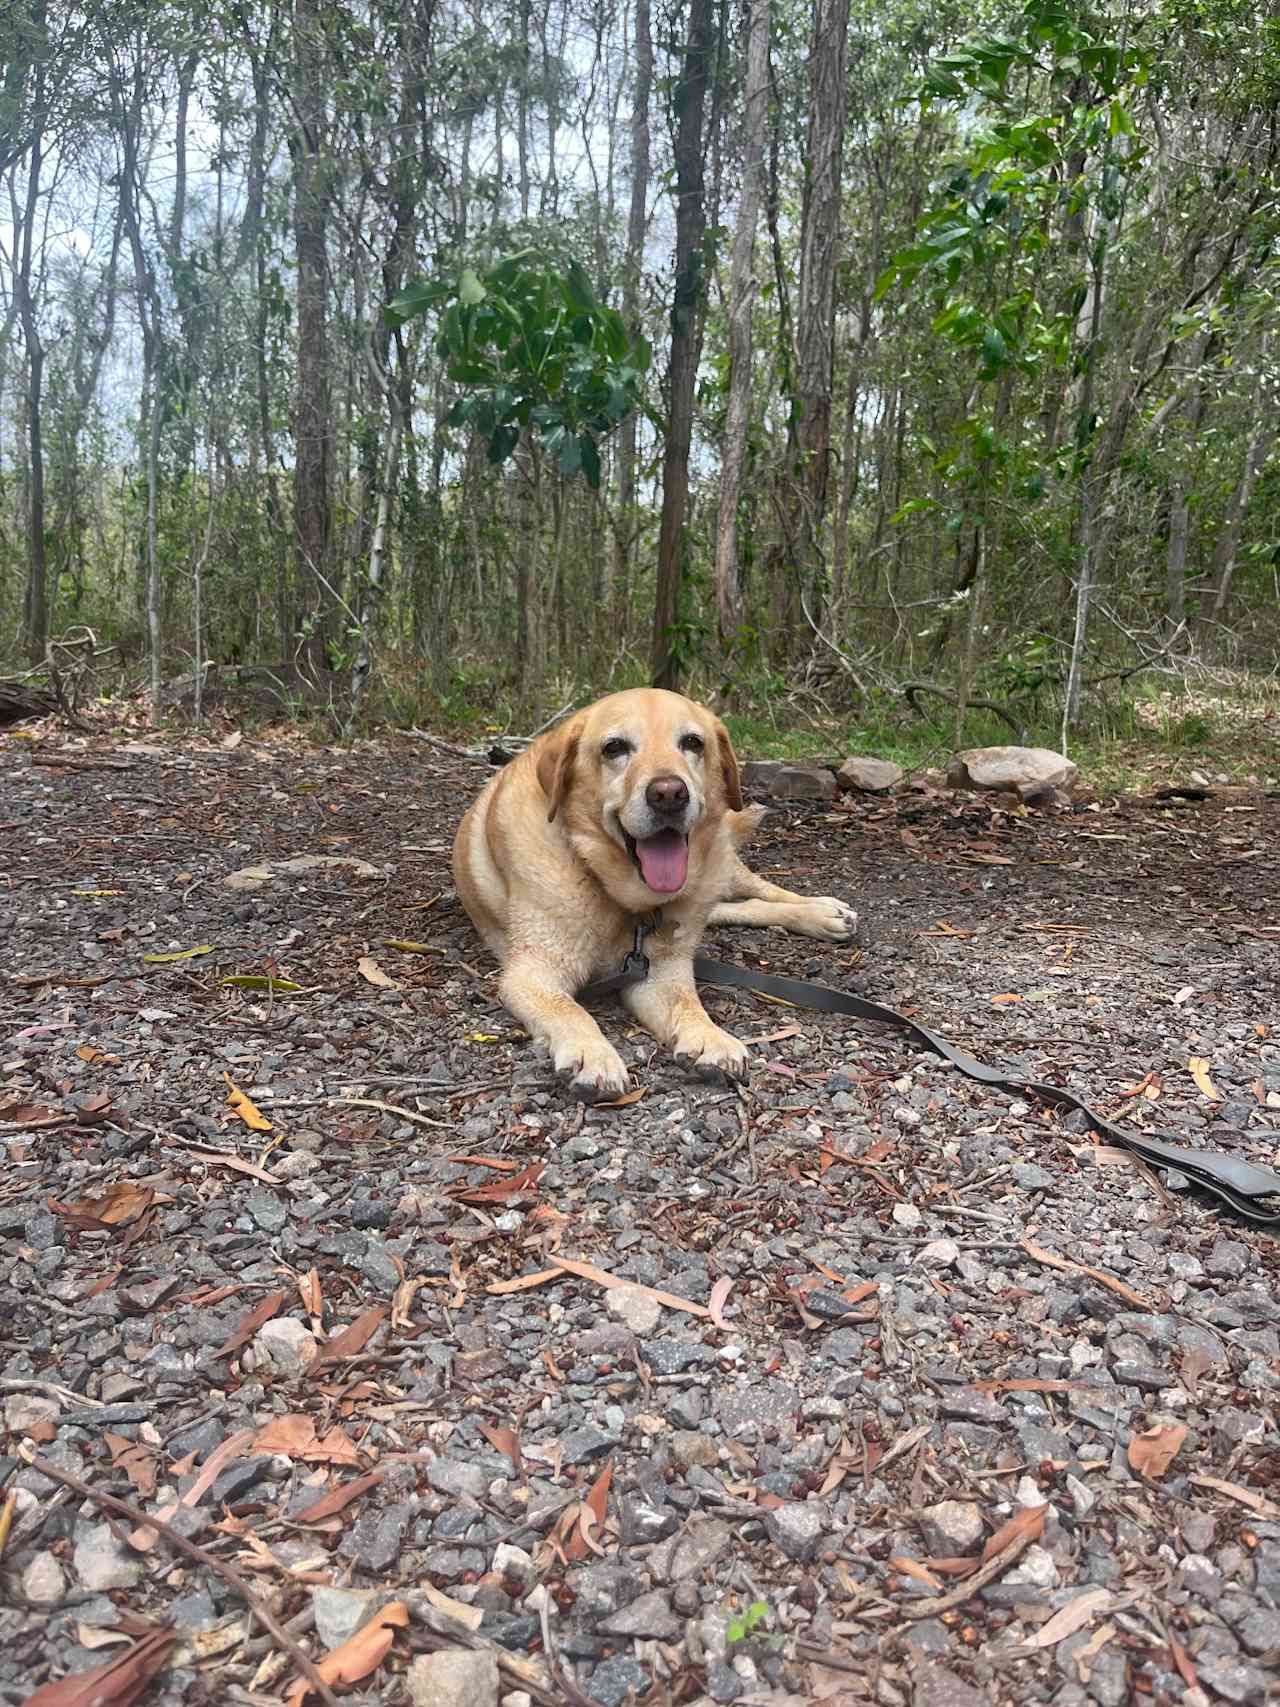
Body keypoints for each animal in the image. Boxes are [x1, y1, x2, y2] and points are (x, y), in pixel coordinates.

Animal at [453, 686, 863, 1099]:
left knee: (762, 891)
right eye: (614, 748)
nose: (669, 794)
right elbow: (569, 1009)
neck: (620, 897)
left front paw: (709, 1036)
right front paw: (592, 1052)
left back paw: (822, 913)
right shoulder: (532, 973)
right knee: (734, 908)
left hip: (720, 866)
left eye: (693, 743)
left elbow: (687, 1004)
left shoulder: (660, 975)